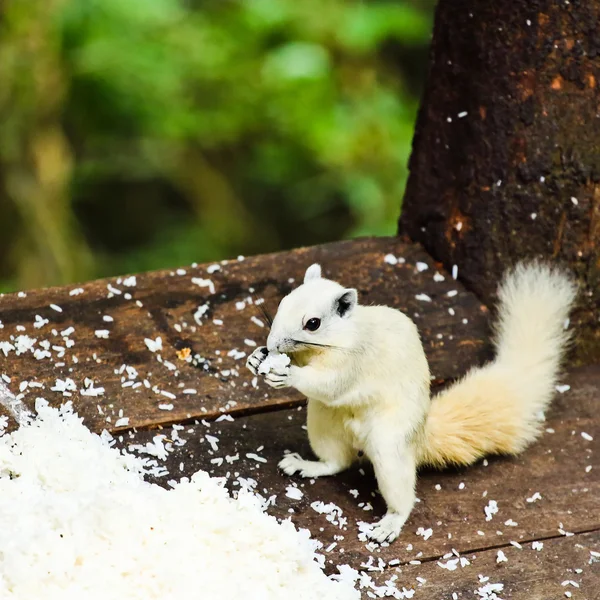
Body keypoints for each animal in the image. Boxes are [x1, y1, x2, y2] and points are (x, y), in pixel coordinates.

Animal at [245, 260, 576, 540]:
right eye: (283, 302)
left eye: (312, 323)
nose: (272, 345)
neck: (329, 343)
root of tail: (420, 436)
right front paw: (256, 358)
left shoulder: (354, 361)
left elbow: (330, 384)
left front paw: (286, 374)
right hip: (323, 423)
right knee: (337, 461)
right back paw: (307, 466)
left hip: (389, 445)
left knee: (401, 493)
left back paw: (390, 524)